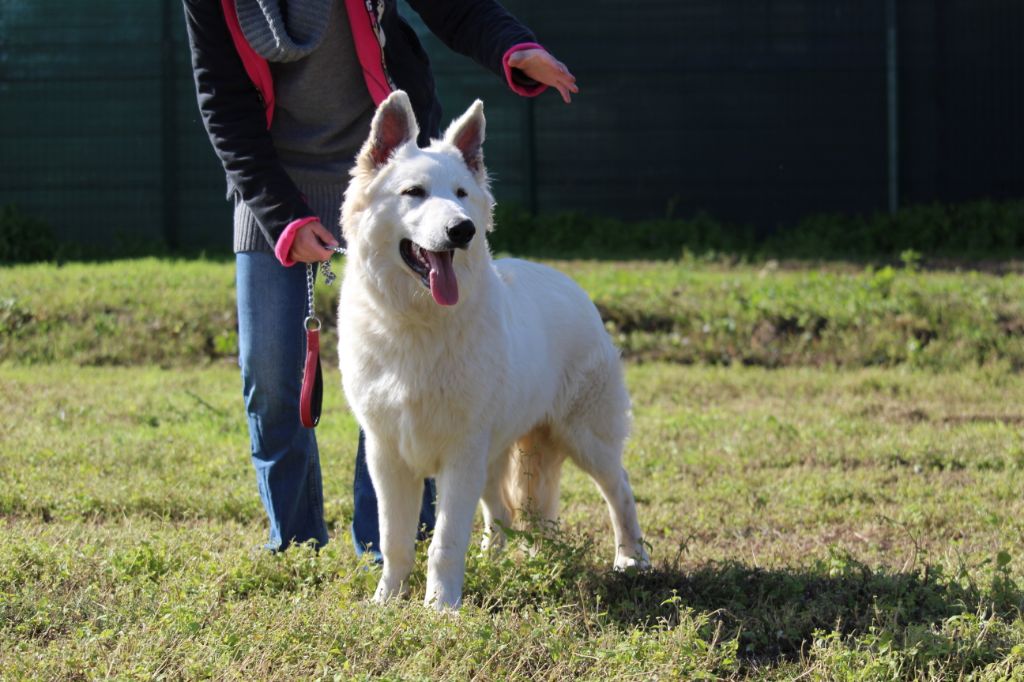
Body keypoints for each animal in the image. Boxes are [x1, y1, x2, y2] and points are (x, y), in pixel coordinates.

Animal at [339, 90, 651, 606]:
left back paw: (631, 559)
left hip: (584, 438)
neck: (419, 321)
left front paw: (441, 607)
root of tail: (570, 284)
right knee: (502, 511)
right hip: (495, 454)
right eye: (414, 192)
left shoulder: (460, 453)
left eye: (462, 194)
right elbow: (394, 540)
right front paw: (387, 601)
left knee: (620, 490)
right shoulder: (388, 457)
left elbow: (444, 542)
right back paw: (493, 562)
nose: (462, 230)